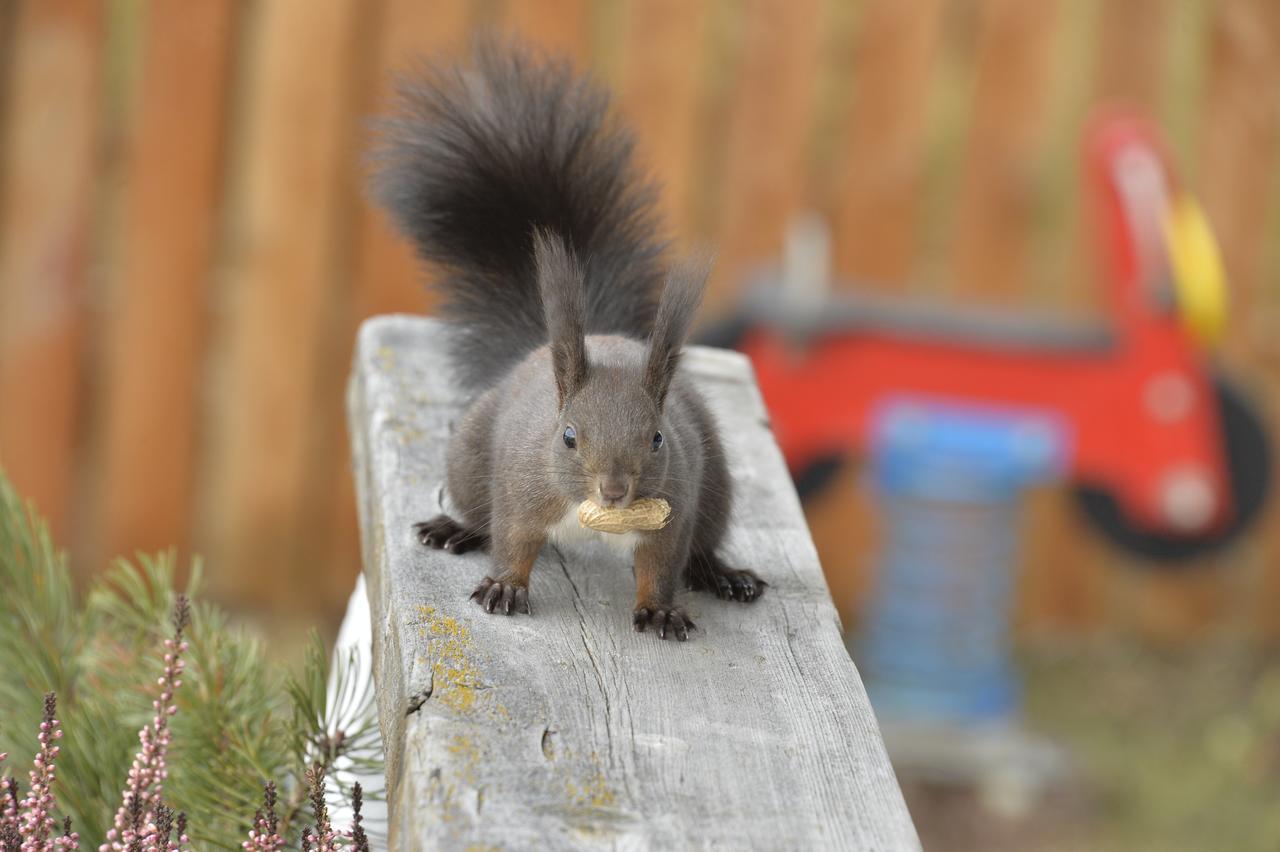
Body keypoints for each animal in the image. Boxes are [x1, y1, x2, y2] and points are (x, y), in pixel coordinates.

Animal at [373, 39, 762, 637]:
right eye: (569, 437)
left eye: (657, 438)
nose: (615, 490)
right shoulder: (521, 489)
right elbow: (513, 539)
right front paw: (505, 585)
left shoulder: (675, 505)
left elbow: (662, 562)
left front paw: (660, 607)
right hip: (469, 458)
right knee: (480, 515)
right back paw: (455, 528)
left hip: (715, 483)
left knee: (702, 546)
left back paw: (724, 573)